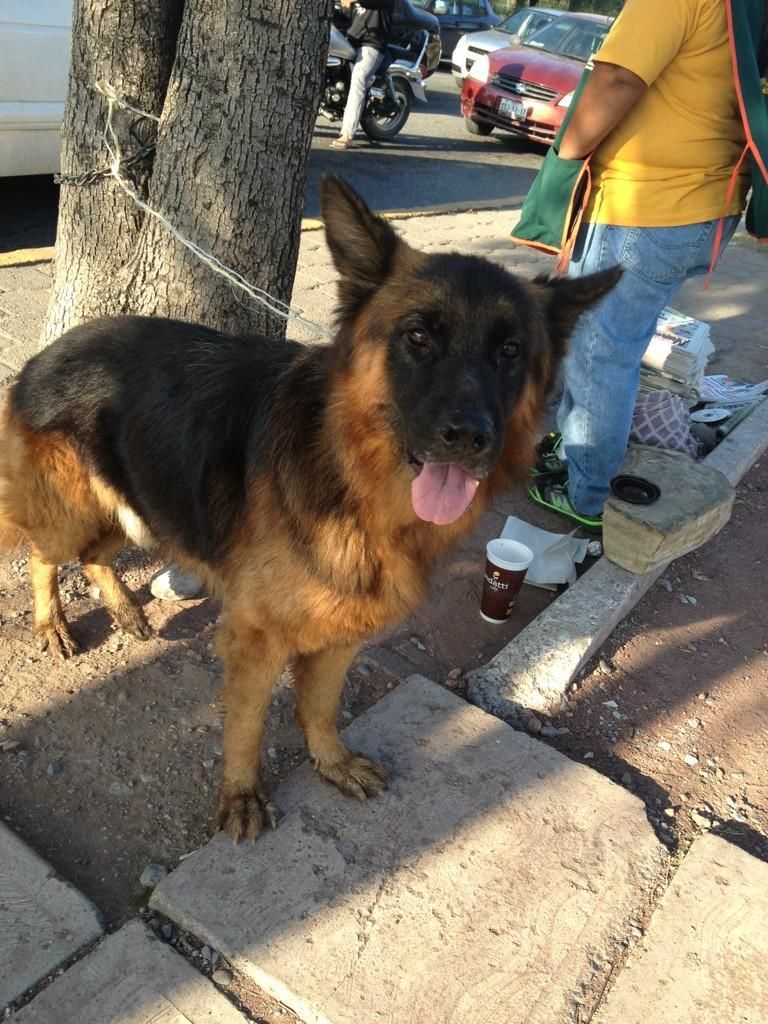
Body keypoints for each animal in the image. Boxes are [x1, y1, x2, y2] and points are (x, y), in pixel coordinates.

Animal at [0, 180, 618, 839]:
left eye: (510, 350)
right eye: (418, 338)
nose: (470, 436)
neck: (353, 478)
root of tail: (52, 349)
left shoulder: (344, 630)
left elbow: (320, 707)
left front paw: (331, 762)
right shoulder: (256, 639)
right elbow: (247, 726)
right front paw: (242, 795)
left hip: (140, 506)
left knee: (96, 554)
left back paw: (123, 609)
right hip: (75, 509)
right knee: (44, 556)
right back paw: (52, 624)